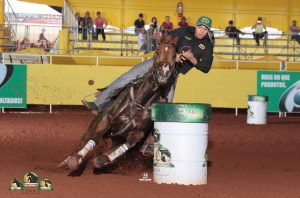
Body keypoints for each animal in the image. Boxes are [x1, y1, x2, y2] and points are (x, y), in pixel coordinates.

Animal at [58, 33, 178, 170]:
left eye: (174, 56)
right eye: (157, 52)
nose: (163, 73)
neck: (140, 103)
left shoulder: (138, 134)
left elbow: (130, 142)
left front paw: (103, 159)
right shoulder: (106, 120)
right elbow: (95, 138)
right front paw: (75, 160)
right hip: (94, 125)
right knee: (84, 140)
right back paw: (67, 160)